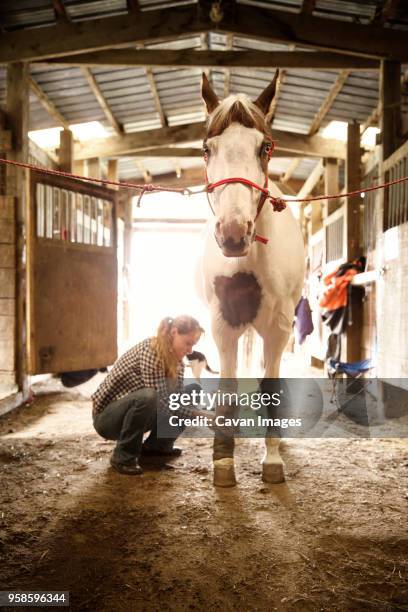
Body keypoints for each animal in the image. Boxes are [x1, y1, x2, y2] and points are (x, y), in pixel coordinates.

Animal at [195, 71, 306, 488]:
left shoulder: (279, 326)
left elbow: (270, 385)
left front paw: (272, 460)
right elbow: (227, 386)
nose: (232, 233)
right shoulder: (223, 322)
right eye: (206, 149)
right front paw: (224, 461)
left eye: (266, 146)